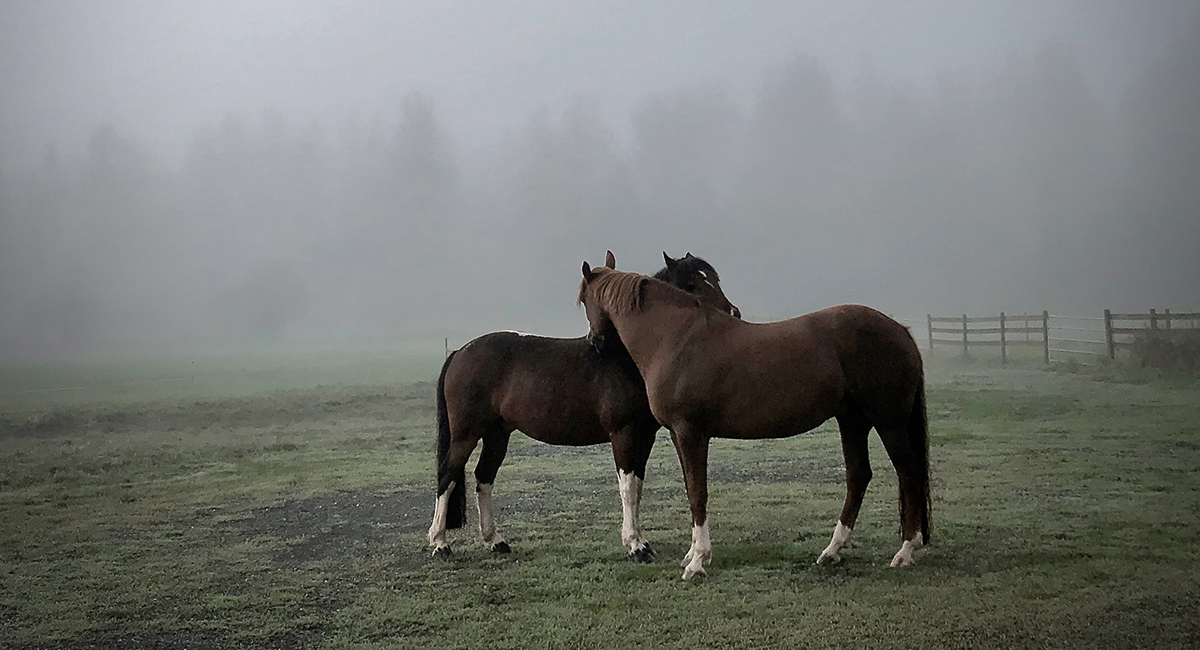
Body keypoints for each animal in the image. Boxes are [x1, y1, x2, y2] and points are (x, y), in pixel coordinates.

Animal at [427, 251, 734, 563]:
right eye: (692, 284)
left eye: (715, 278)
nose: (733, 314)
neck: (627, 357)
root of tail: (460, 353)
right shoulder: (623, 433)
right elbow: (627, 488)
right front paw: (636, 546)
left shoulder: (645, 435)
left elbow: (637, 487)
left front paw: (642, 542)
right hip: (466, 433)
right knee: (447, 477)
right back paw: (440, 542)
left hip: (497, 434)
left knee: (484, 478)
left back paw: (495, 541)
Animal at [576, 263, 931, 580]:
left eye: (583, 301)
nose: (595, 341)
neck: (675, 337)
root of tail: (901, 331)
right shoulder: (678, 434)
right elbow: (692, 490)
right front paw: (692, 554)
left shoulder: (691, 432)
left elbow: (698, 493)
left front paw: (698, 561)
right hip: (853, 421)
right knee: (859, 476)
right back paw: (832, 551)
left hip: (889, 422)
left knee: (908, 472)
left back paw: (906, 551)